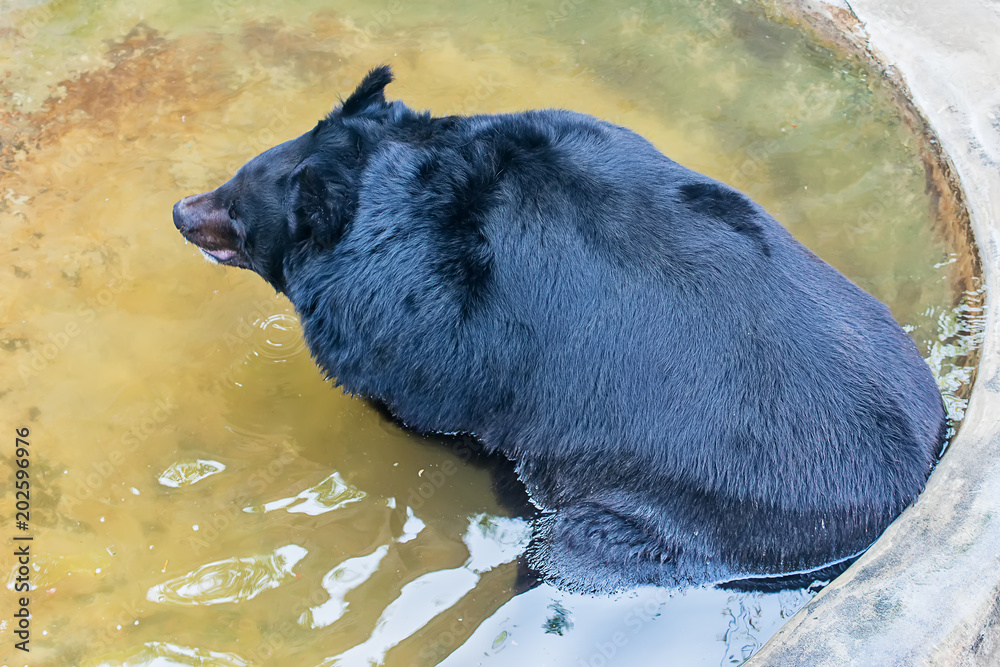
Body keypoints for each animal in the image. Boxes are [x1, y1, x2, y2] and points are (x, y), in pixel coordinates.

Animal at [172, 66, 946, 592]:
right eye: (235, 176)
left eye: (234, 209)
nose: (181, 210)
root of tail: (902, 492)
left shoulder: (430, 329)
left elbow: (427, 401)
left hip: (691, 509)